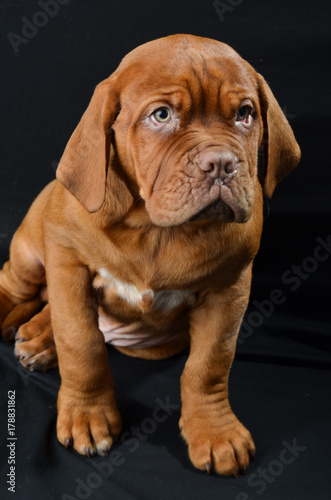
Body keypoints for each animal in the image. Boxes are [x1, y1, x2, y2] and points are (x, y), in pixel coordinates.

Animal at [0, 34, 300, 476]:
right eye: (161, 115)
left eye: (245, 115)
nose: (221, 163)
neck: (154, 230)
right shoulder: (68, 260)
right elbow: (81, 343)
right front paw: (87, 414)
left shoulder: (229, 290)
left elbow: (209, 365)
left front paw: (215, 432)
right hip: (31, 247)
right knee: (22, 288)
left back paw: (39, 337)